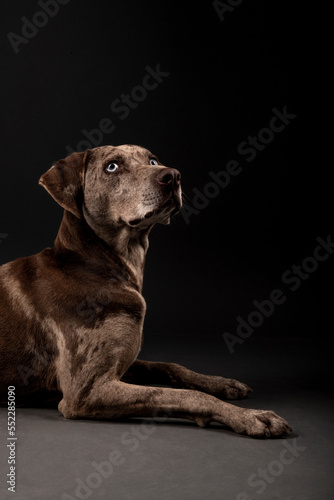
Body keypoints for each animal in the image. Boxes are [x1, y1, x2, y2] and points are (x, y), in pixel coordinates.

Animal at [0, 145, 290, 438]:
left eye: (152, 160)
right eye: (112, 167)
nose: (172, 176)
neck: (94, 264)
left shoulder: (121, 365)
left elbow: (169, 366)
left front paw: (221, 383)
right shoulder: (86, 389)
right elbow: (180, 395)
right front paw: (249, 416)